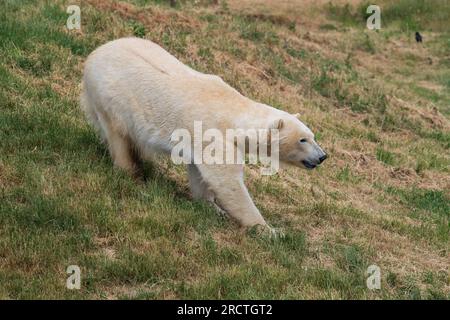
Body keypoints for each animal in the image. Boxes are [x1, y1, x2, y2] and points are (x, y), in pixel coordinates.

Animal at [81, 38, 326, 230]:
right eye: (303, 139)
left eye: (313, 136)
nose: (323, 156)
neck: (233, 111)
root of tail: (93, 55)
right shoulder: (213, 134)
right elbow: (226, 179)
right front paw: (267, 229)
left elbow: (199, 173)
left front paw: (212, 207)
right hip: (111, 96)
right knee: (118, 135)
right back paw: (131, 171)